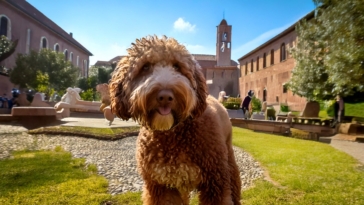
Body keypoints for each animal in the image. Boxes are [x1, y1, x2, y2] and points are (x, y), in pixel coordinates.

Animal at [109, 36, 240, 204]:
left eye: (177, 66)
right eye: (145, 67)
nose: (165, 96)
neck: (173, 136)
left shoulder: (215, 184)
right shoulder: (161, 186)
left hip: (228, 163)